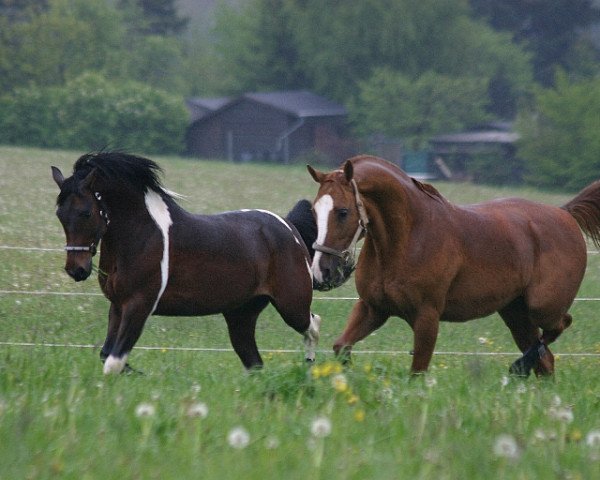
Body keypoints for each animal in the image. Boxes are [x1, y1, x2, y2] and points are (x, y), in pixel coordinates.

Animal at [54, 152, 322, 374]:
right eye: (59, 214)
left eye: (86, 212)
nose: (76, 269)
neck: (142, 235)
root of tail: (289, 227)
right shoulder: (118, 306)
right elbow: (107, 355)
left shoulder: (139, 305)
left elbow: (113, 362)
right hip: (241, 313)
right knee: (254, 362)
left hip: (291, 305)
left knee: (314, 325)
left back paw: (309, 367)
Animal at [308, 156, 600, 376]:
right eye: (313, 210)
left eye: (343, 212)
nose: (322, 271)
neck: (407, 238)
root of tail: (564, 213)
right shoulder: (374, 308)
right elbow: (341, 347)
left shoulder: (426, 316)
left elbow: (418, 370)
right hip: (515, 313)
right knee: (546, 360)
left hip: (542, 307)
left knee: (561, 325)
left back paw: (519, 366)